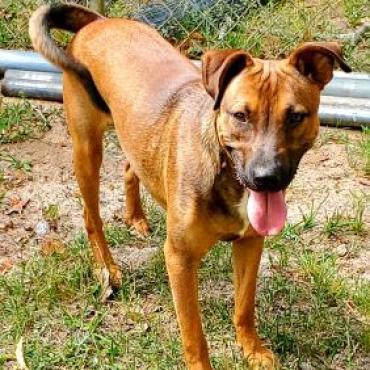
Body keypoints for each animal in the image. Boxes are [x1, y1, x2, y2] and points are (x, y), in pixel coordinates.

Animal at [30, 2, 352, 368]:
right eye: (240, 115)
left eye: (296, 116)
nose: (265, 178)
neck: (226, 173)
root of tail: (98, 22)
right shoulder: (180, 259)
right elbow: (194, 334)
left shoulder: (250, 243)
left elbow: (244, 306)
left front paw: (252, 350)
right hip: (86, 148)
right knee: (90, 216)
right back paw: (108, 269)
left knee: (130, 167)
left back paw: (136, 217)